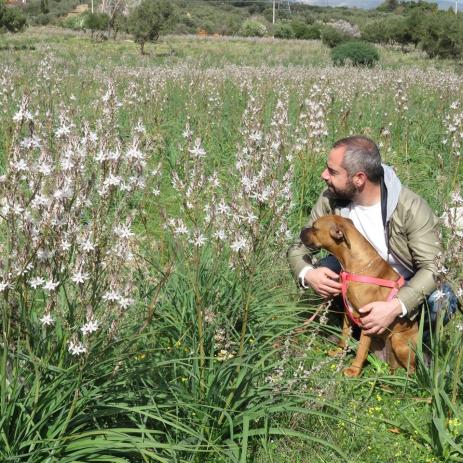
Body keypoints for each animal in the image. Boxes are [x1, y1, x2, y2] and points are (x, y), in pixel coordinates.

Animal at [302, 216, 418, 378]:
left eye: (314, 228)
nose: (301, 231)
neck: (357, 266)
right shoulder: (348, 314)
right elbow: (344, 336)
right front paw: (339, 352)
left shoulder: (368, 320)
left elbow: (361, 349)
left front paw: (354, 370)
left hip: (398, 341)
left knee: (412, 370)